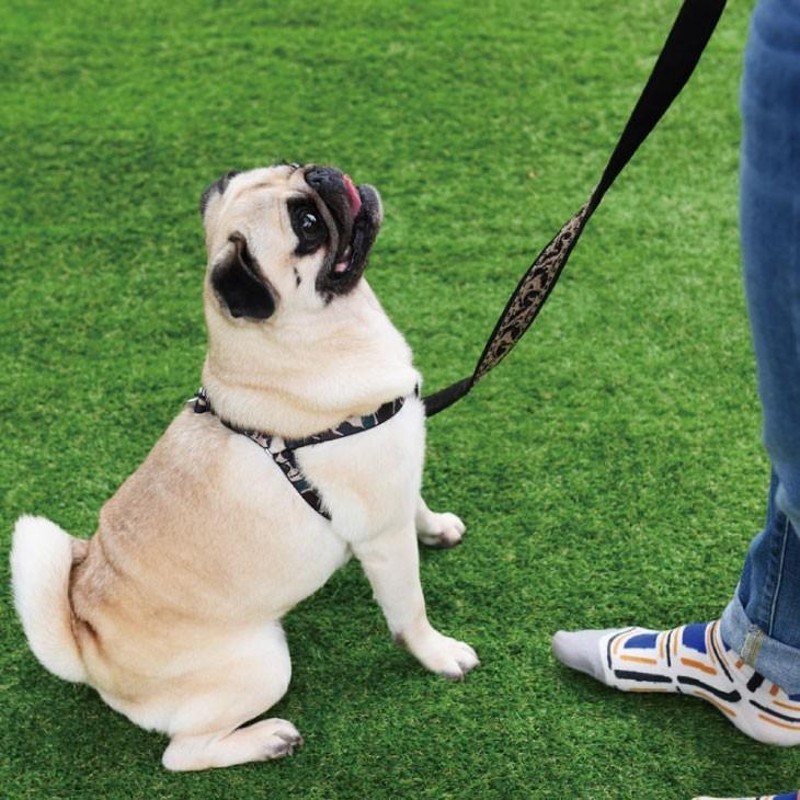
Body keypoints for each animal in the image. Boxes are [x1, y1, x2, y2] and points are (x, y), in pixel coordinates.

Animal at [9, 162, 478, 768]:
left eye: (295, 167)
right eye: (307, 226)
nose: (325, 176)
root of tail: (88, 650)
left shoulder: (398, 471)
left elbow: (416, 503)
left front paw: (437, 528)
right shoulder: (382, 539)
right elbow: (410, 613)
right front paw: (438, 654)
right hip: (264, 665)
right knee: (181, 753)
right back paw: (268, 739)